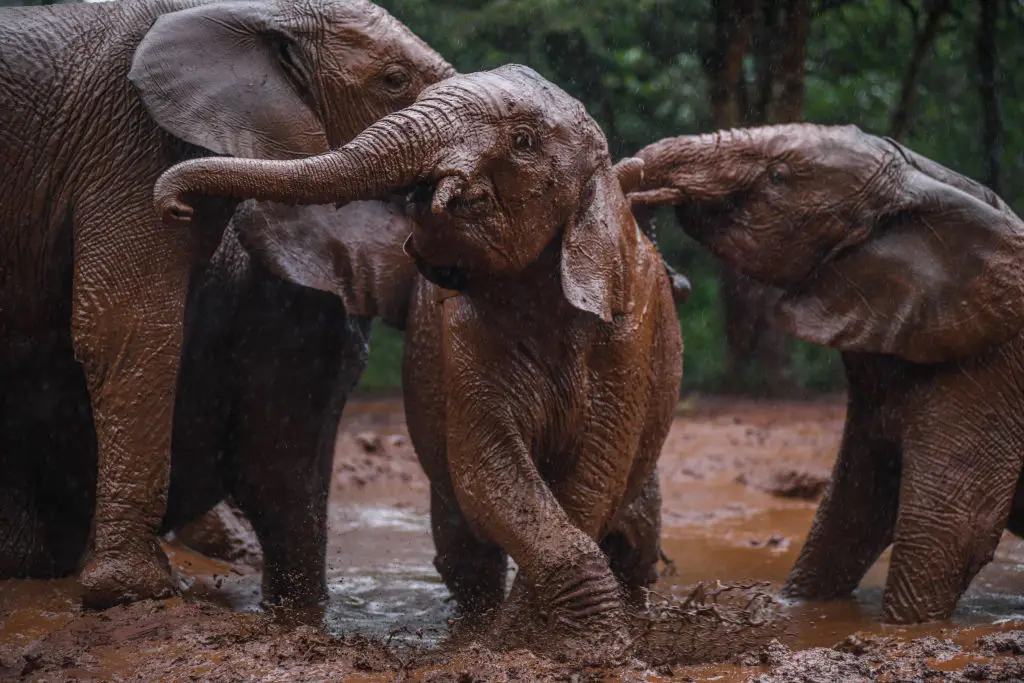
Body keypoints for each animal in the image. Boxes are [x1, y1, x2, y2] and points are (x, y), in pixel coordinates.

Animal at [0, 0, 452, 608]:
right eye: (393, 81)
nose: (174, 202)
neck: (249, 12)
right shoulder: (127, 142)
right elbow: (127, 322)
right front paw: (135, 591)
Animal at [151, 64, 684, 662]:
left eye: (523, 142)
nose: (174, 206)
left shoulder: (626, 340)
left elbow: (591, 480)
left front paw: (589, 647)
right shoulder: (466, 335)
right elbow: (489, 467)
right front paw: (527, 642)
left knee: (634, 542)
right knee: (465, 550)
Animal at [625, 123, 1024, 624]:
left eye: (779, 177)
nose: (678, 282)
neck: (924, 178)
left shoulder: (984, 371)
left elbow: (948, 527)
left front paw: (900, 629)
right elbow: (851, 510)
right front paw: (799, 610)